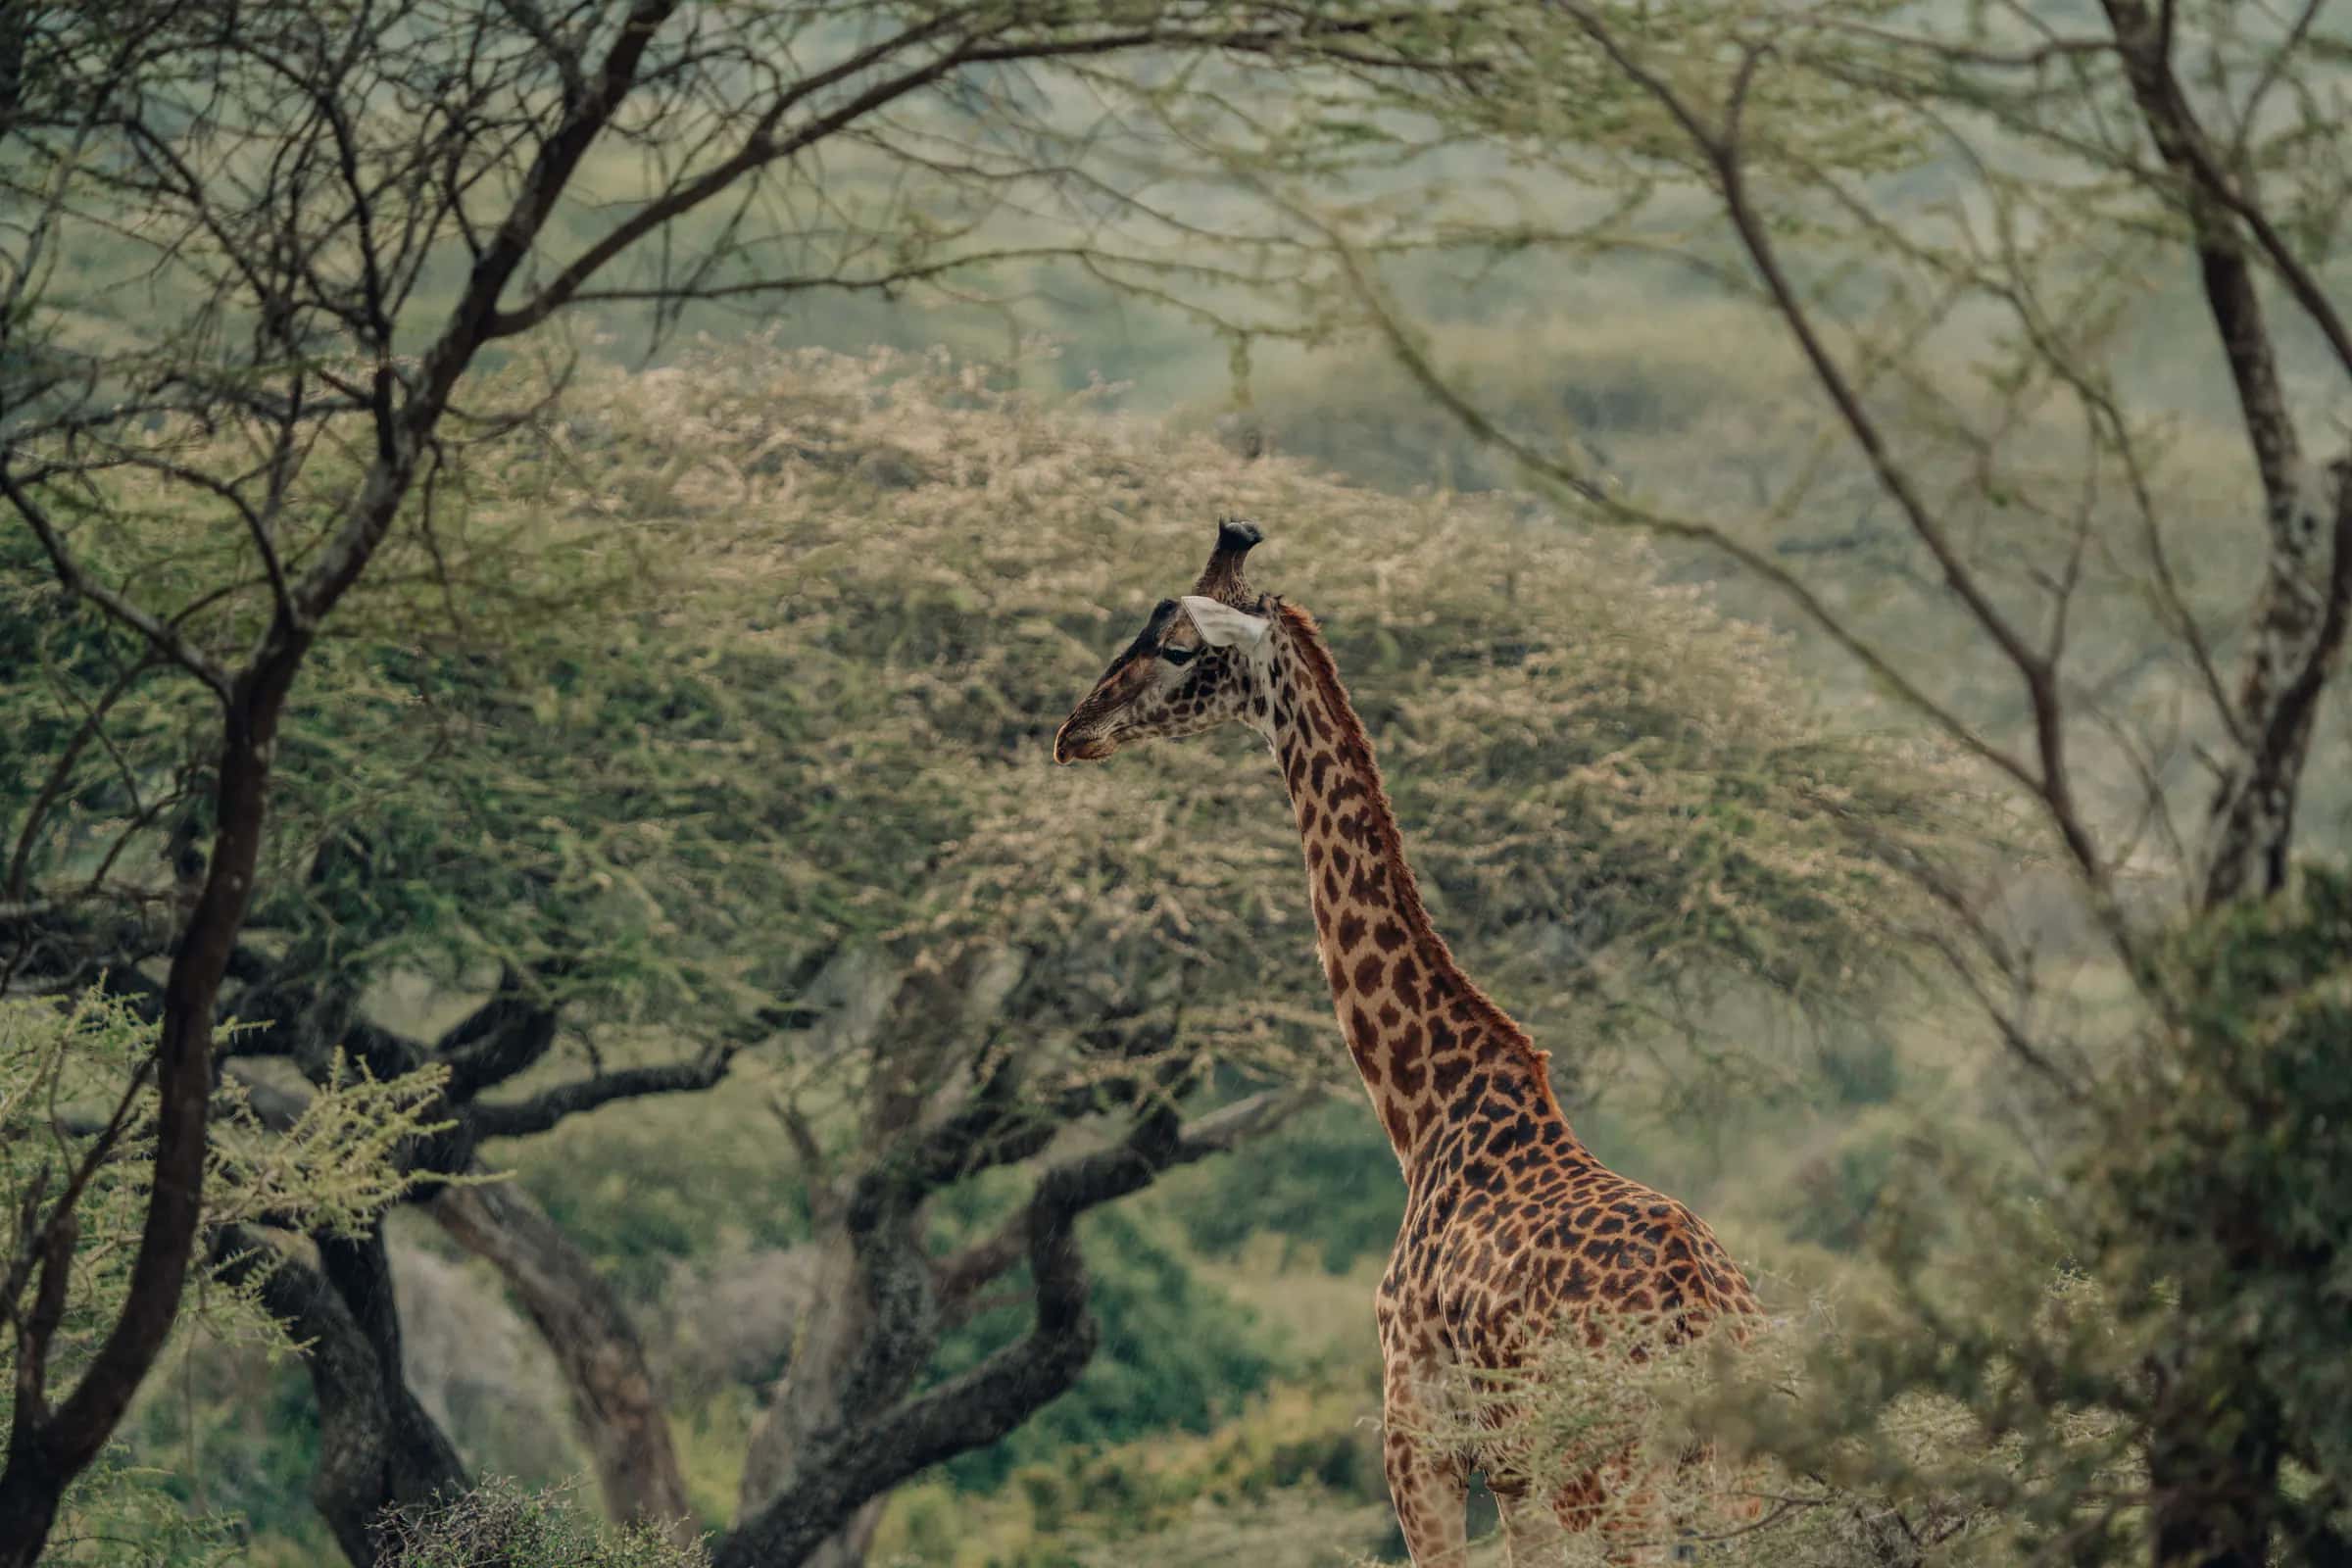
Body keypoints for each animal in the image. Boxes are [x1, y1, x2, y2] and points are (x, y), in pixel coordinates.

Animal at [1053, 519, 1762, 1565]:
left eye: (1179, 648)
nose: (1076, 730)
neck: (1425, 1111)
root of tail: (1702, 1319)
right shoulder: (1506, 1469)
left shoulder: (1420, 1440)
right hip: (1728, 1482)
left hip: (1612, 1482)